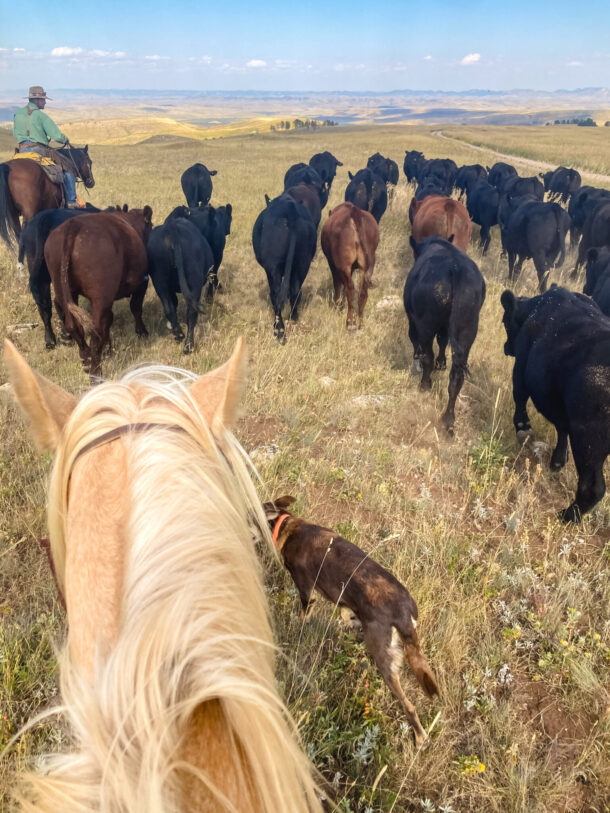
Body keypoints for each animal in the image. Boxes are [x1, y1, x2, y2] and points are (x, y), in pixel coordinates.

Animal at [43, 208, 153, 378]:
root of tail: (73, 225)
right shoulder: (142, 282)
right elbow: (135, 308)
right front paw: (142, 332)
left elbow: (110, 320)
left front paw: (108, 350)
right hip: (100, 296)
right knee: (96, 330)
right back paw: (96, 374)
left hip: (63, 289)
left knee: (75, 326)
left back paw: (86, 360)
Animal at [147, 218, 213, 353]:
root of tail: (171, 228)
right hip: (194, 280)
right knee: (192, 313)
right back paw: (188, 345)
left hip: (159, 280)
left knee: (169, 308)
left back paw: (178, 333)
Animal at [252, 193, 317, 343]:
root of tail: (290, 208)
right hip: (303, 262)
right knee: (296, 291)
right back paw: (293, 319)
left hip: (273, 265)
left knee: (275, 294)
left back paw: (279, 331)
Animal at [404, 236, 485, 435]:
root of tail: (456, 269)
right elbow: (443, 341)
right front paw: (441, 363)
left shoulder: (413, 319)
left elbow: (415, 340)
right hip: (467, 330)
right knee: (457, 376)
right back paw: (449, 420)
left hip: (426, 324)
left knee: (428, 356)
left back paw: (425, 385)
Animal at [500, 286, 610, 521]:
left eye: (505, 321)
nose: (506, 347)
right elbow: (561, 428)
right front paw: (558, 461)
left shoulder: (521, 365)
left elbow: (519, 395)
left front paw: (523, 428)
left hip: (589, 439)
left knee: (593, 487)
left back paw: (568, 516)